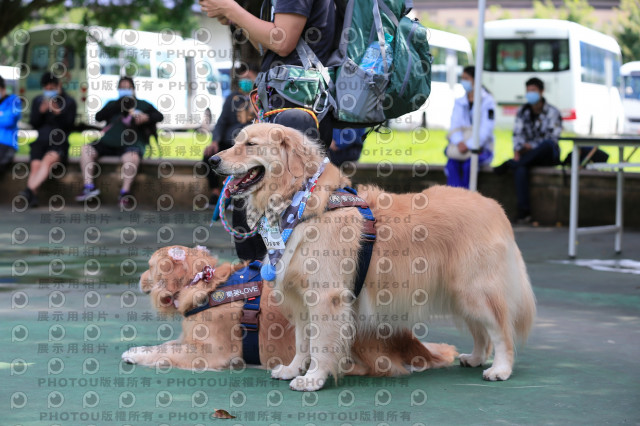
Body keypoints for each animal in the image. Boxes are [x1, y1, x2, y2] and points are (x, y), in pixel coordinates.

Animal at [121, 246, 460, 376]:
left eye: (150, 267)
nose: (138, 278)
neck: (204, 284)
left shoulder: (210, 352)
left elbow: (168, 353)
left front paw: (142, 356)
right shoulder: (190, 341)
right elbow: (163, 345)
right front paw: (137, 349)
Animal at [210, 121, 536, 392]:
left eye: (250, 144)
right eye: (235, 141)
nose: (213, 161)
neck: (300, 202)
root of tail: (494, 206)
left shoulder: (326, 296)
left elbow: (321, 343)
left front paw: (314, 378)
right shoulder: (301, 297)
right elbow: (302, 341)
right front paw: (293, 369)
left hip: (476, 290)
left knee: (500, 331)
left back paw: (500, 369)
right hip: (461, 294)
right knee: (481, 331)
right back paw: (476, 357)